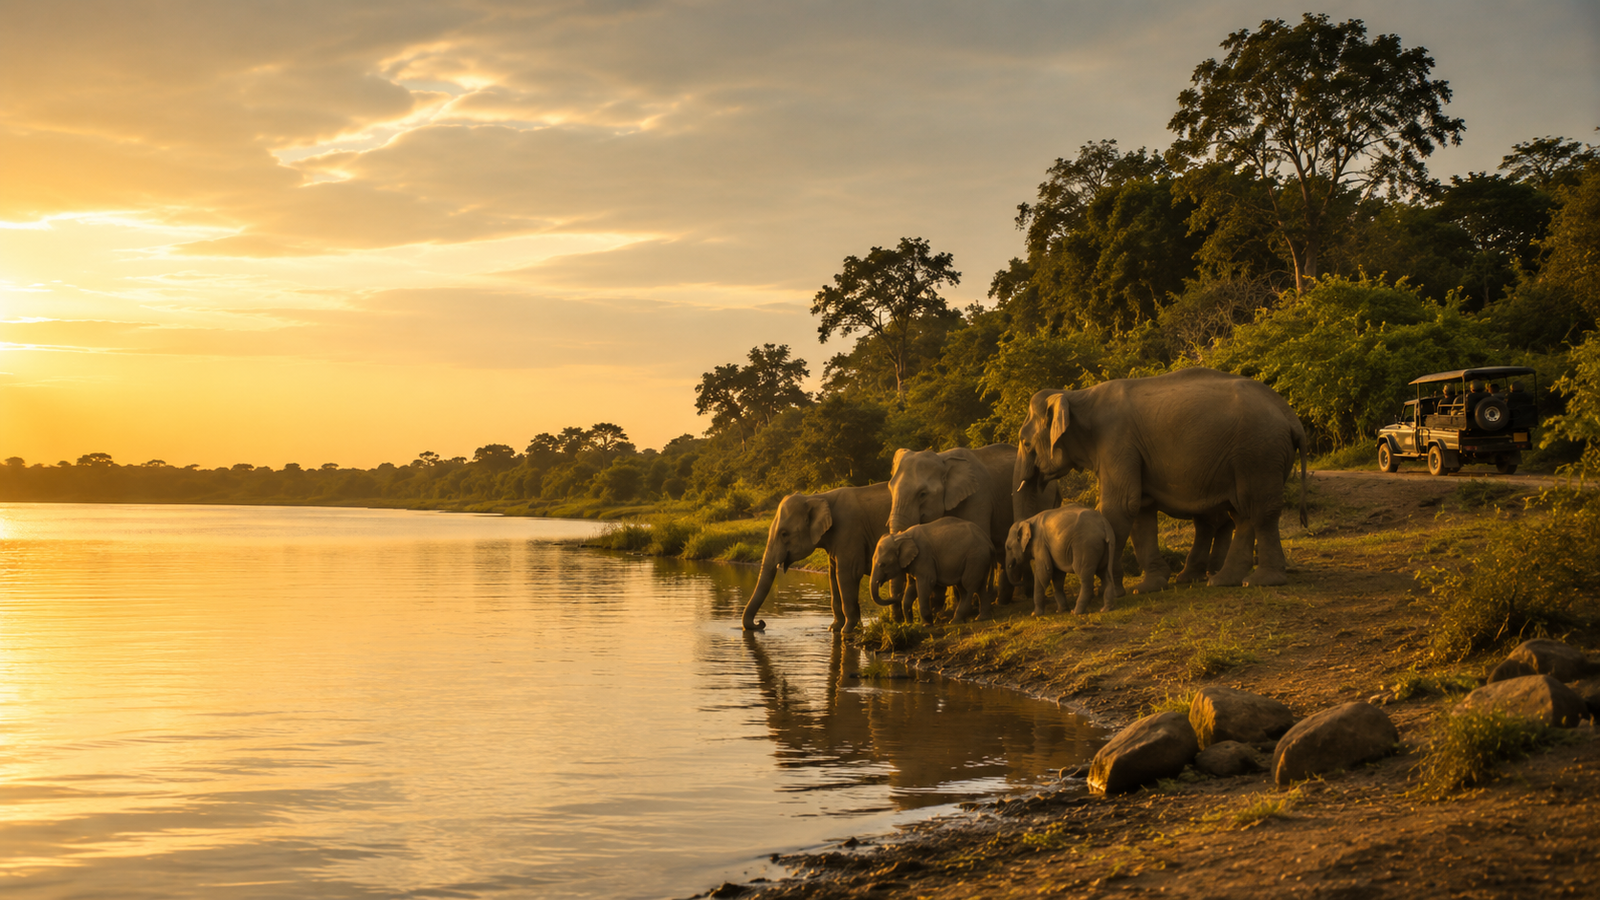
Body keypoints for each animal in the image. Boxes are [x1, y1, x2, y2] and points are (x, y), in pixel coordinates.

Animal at [741, 482, 906, 632]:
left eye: (784, 534)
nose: (761, 623)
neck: (818, 497)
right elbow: (833, 576)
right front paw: (834, 629)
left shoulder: (849, 531)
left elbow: (847, 574)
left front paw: (847, 630)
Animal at [1015, 367, 1307, 592]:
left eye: (1025, 442)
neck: (1075, 395)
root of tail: (1291, 416)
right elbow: (1140, 509)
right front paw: (1147, 587)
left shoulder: (1116, 441)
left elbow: (1121, 505)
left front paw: (1113, 593)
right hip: (1249, 457)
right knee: (1242, 513)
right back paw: (1223, 581)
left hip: (1259, 452)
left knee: (1259, 509)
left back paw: (1261, 581)